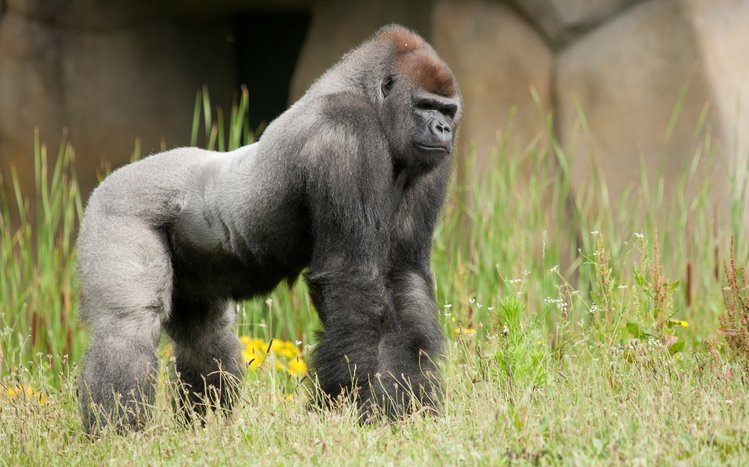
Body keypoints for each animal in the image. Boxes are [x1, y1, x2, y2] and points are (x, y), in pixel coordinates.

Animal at [76, 24, 462, 433]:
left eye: (448, 111)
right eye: (425, 106)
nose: (443, 129)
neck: (369, 97)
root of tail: (106, 183)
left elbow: (404, 278)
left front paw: (411, 406)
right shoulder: (346, 130)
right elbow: (353, 279)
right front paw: (355, 407)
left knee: (205, 337)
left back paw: (205, 425)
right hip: (118, 208)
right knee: (127, 325)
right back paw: (118, 432)